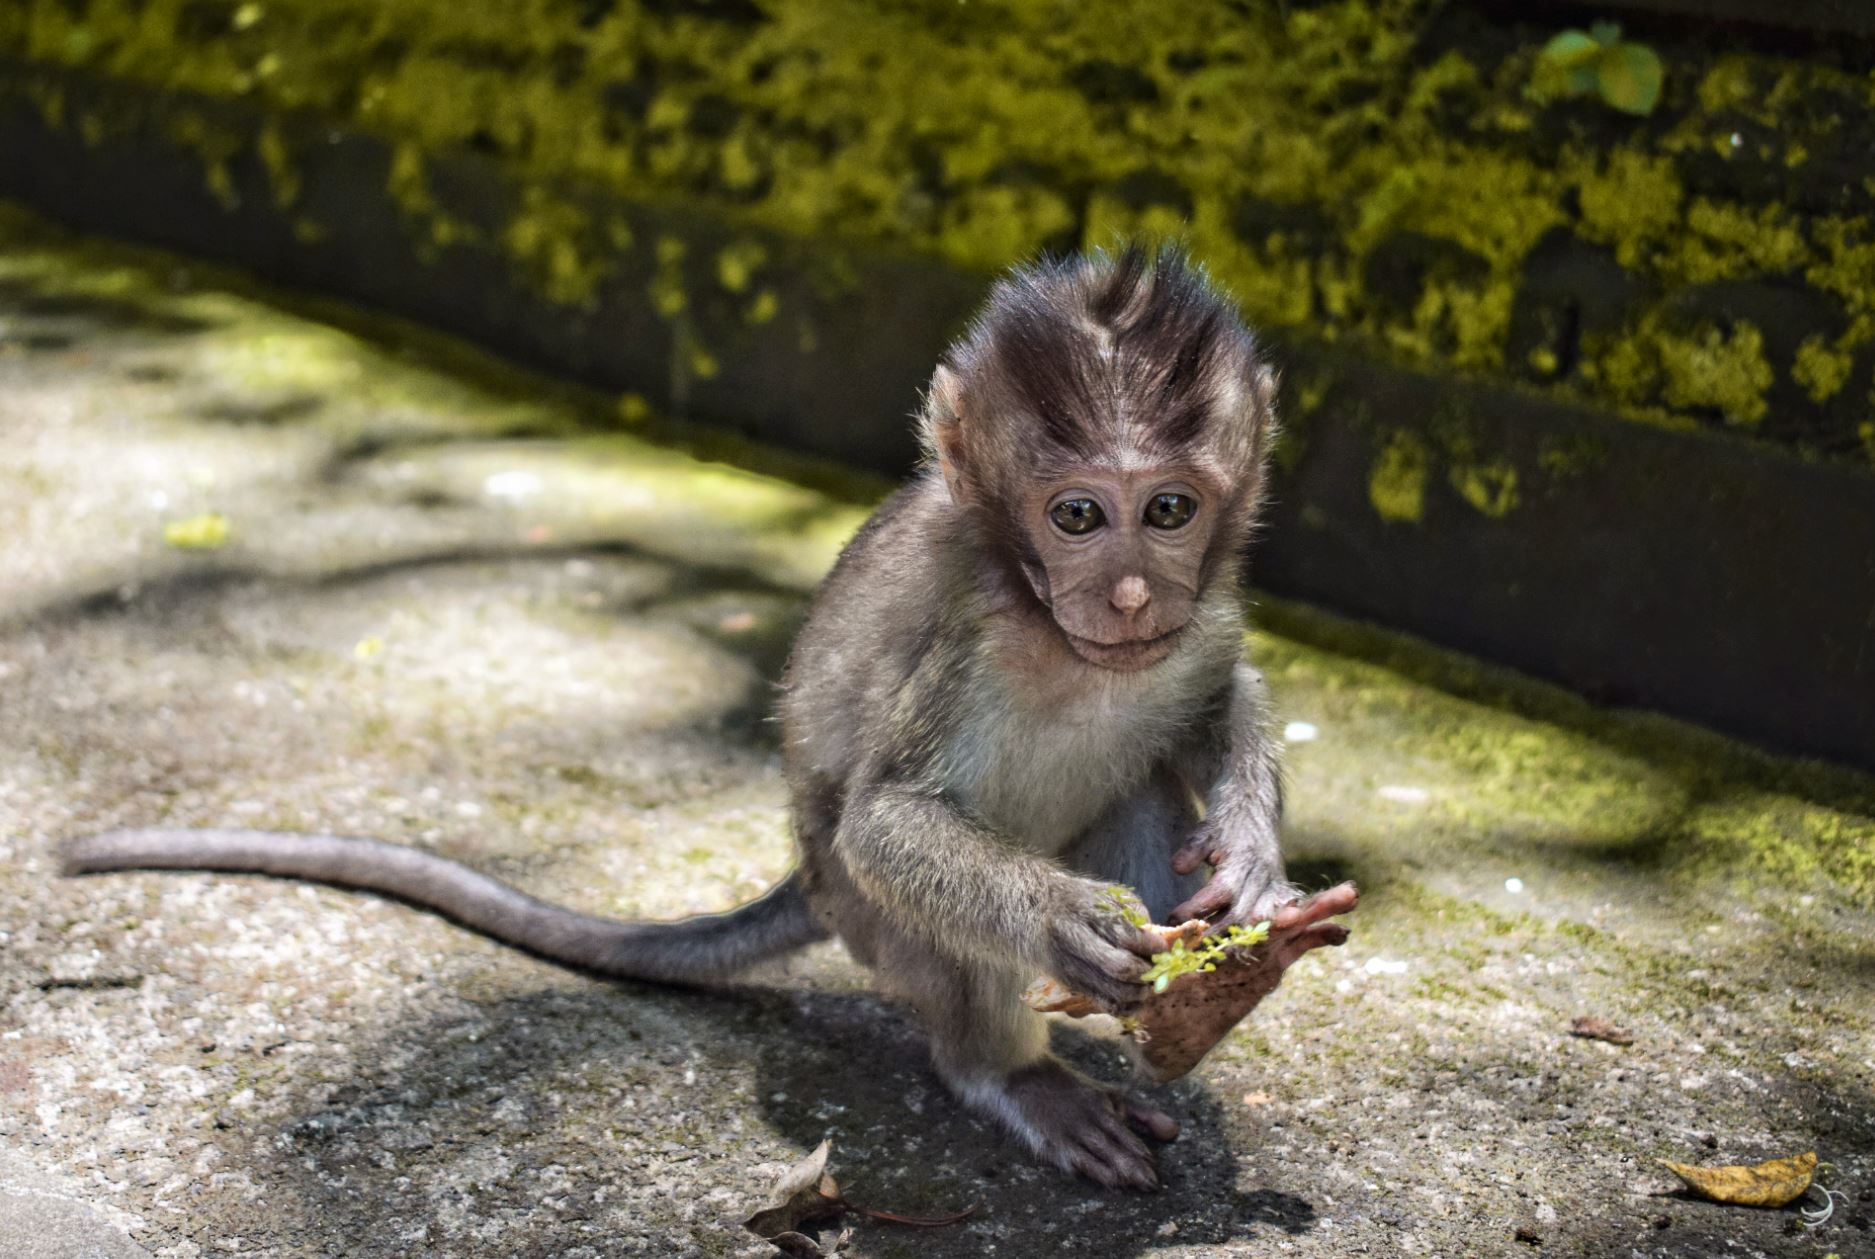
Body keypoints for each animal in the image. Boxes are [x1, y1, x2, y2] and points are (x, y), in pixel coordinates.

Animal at [64, 245, 1309, 1191]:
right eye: (1078, 515)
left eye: (1169, 508)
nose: (1133, 594)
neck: (1066, 640)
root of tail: (803, 884)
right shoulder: (977, 635)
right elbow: (887, 818)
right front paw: (1062, 918)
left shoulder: (1199, 617)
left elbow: (1217, 696)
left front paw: (1252, 860)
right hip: (869, 914)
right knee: (918, 913)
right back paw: (1021, 1073)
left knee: (1140, 784)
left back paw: (1218, 982)